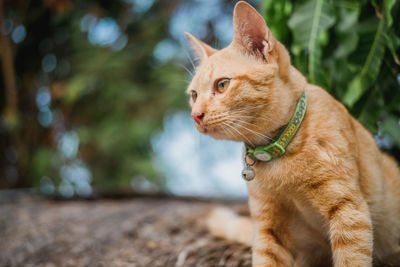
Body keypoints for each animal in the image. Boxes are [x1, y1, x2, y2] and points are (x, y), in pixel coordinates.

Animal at [185, 1, 400, 267]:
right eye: (194, 95)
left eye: (222, 85)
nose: (195, 115)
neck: (279, 150)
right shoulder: (268, 228)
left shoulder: (349, 213)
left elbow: (350, 260)